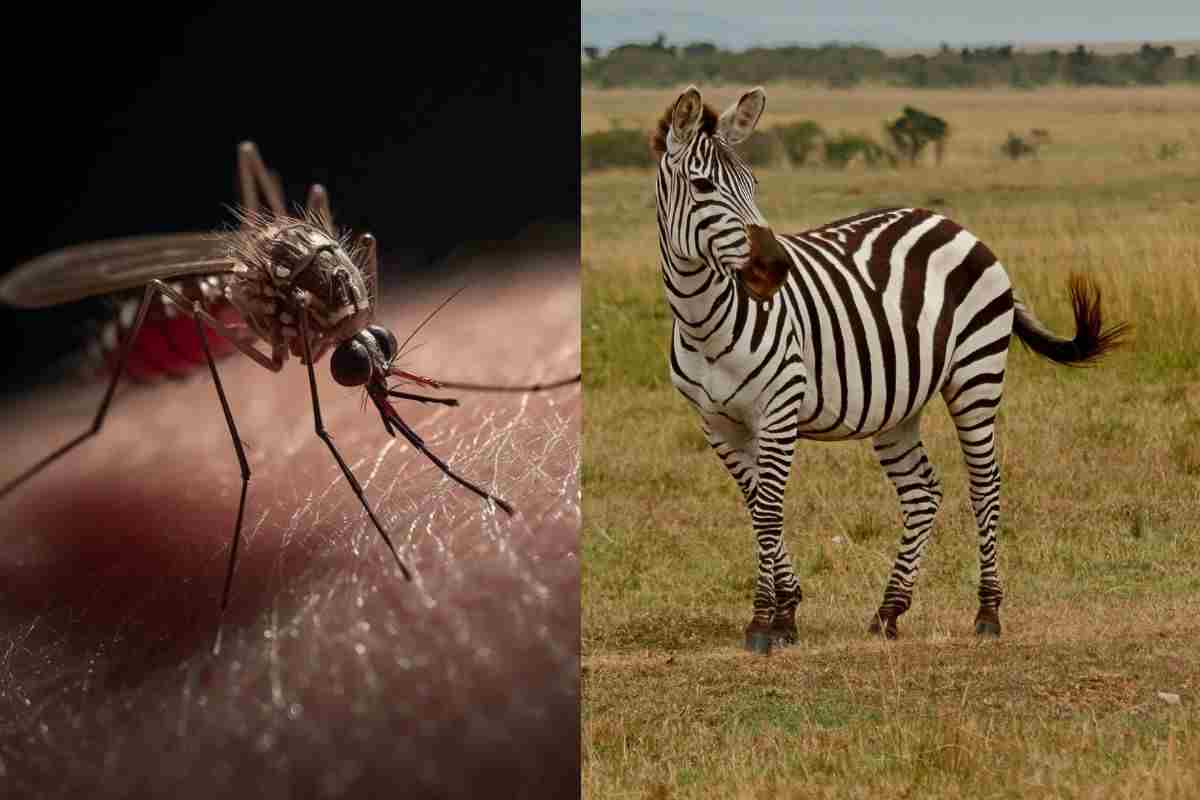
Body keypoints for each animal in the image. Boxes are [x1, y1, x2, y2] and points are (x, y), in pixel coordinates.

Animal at [651, 85, 1129, 654]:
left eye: (753, 184)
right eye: (703, 186)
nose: (776, 269)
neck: (706, 322)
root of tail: (953, 224)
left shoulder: (779, 409)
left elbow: (768, 510)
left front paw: (765, 621)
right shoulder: (715, 423)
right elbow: (754, 506)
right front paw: (788, 611)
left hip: (976, 375)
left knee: (984, 485)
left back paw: (988, 613)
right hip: (897, 404)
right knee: (923, 492)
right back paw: (889, 612)